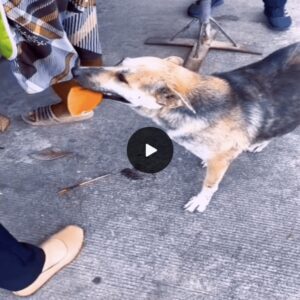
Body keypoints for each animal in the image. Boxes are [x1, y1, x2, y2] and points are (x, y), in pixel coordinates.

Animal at [76, 42, 300, 213]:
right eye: (120, 61)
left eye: (123, 79)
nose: (76, 69)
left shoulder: (220, 161)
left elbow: (209, 185)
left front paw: (201, 201)